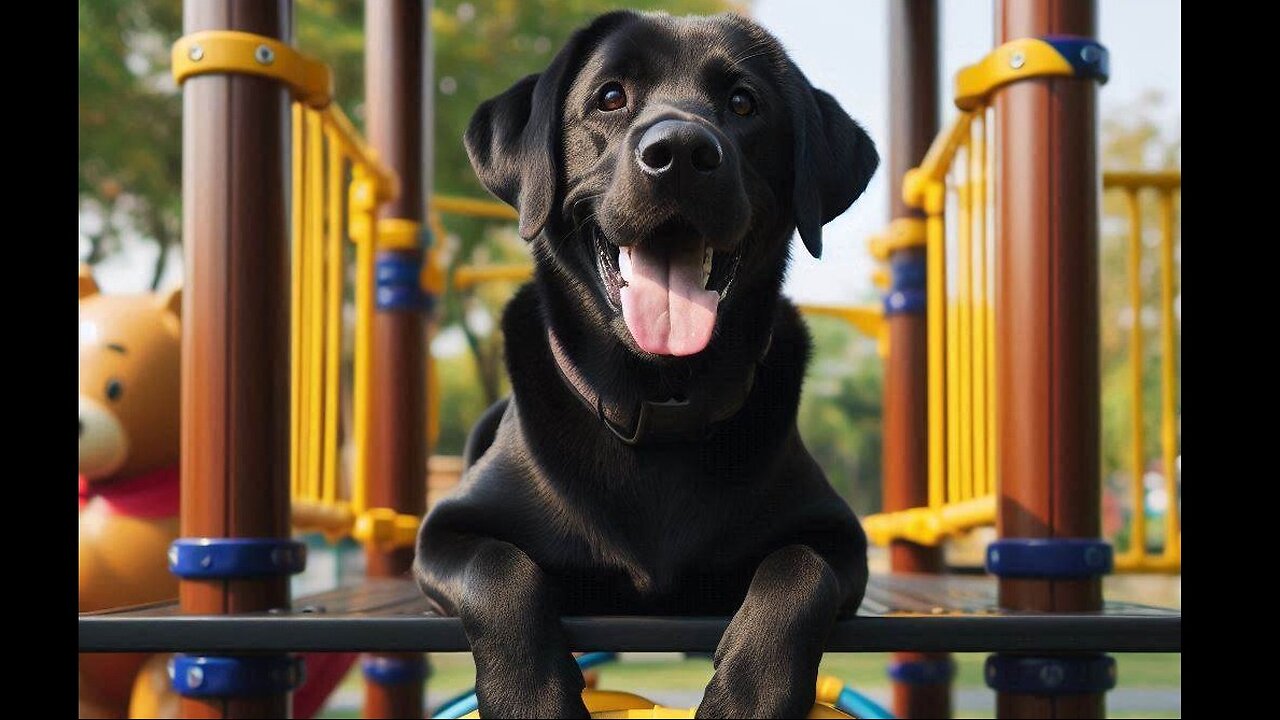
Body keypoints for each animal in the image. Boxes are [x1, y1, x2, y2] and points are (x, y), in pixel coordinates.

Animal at [414, 11, 875, 717]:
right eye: (610, 97)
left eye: (744, 103)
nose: (681, 151)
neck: (658, 401)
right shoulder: (443, 532)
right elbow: (498, 569)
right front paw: (531, 697)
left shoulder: (839, 534)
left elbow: (800, 570)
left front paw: (750, 695)